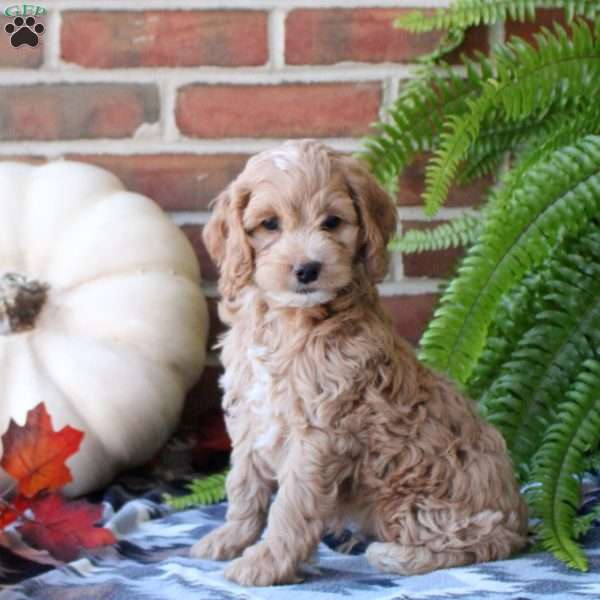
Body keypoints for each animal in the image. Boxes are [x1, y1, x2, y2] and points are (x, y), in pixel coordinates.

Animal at [191, 139, 524, 584]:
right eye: (269, 224)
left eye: (332, 223)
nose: (307, 269)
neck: (290, 322)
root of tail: (520, 519)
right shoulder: (250, 414)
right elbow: (244, 485)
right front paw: (229, 539)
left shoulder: (319, 434)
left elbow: (291, 506)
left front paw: (266, 562)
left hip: (413, 498)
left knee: (477, 541)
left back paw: (397, 555)